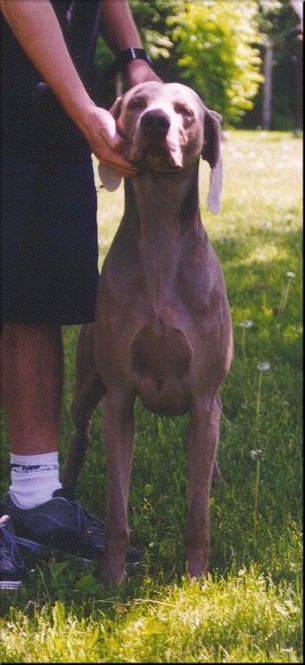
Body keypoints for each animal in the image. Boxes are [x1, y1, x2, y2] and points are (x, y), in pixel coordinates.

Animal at [61, 80, 233, 584]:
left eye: (185, 112)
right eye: (136, 103)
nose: (156, 122)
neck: (160, 240)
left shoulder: (203, 398)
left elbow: (198, 510)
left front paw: (195, 578)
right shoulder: (119, 396)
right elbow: (117, 508)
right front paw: (112, 576)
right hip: (87, 384)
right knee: (79, 434)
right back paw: (63, 489)